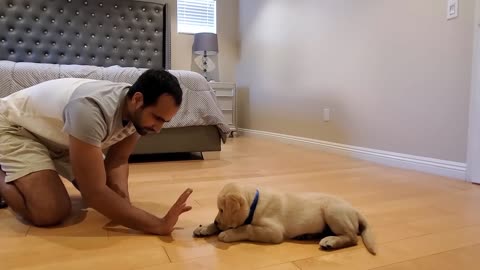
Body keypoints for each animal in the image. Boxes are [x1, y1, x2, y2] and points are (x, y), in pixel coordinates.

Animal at [193, 181, 376, 255]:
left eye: (222, 209)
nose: (216, 221)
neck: (254, 203)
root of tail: (355, 210)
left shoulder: (274, 232)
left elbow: (247, 227)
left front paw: (228, 233)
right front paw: (205, 228)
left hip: (333, 211)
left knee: (352, 237)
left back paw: (330, 241)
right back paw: (307, 235)